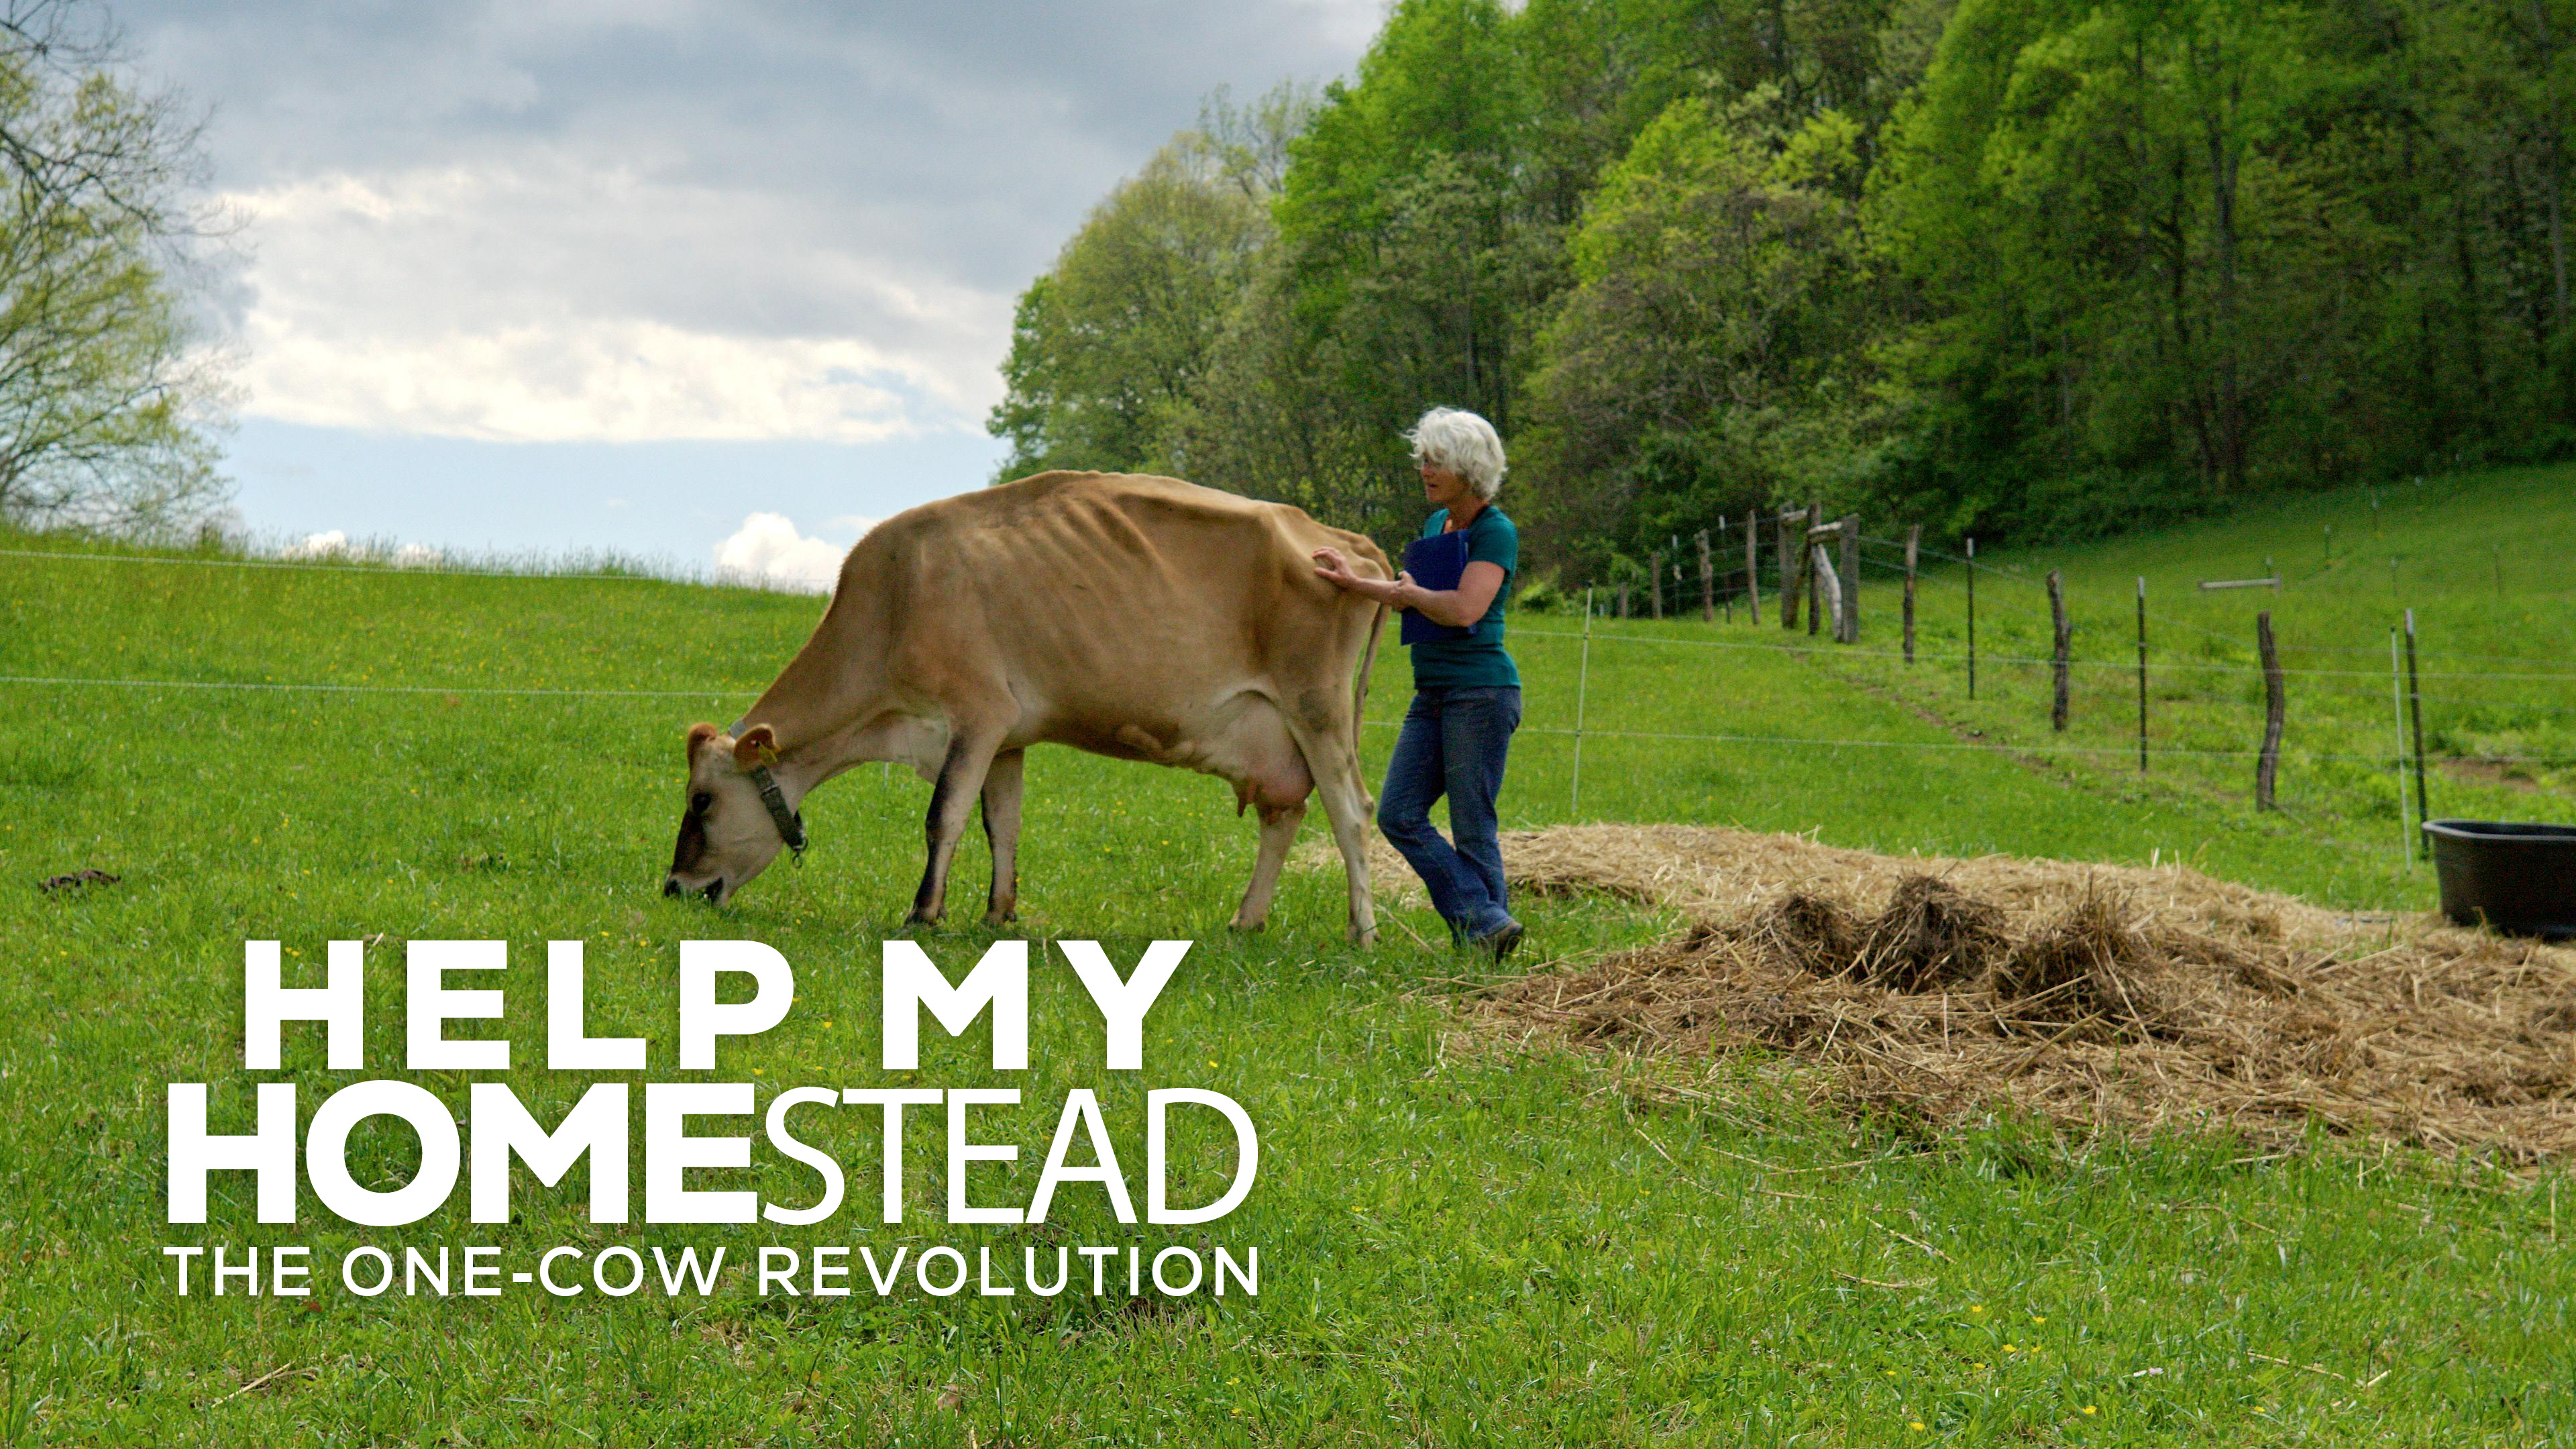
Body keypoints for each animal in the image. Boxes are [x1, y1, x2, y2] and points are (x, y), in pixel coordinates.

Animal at [663, 470, 1394, 943]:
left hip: (1317, 707)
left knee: (1351, 810)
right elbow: (1002, 825)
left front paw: (923, 914)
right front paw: (998, 914)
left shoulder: (977, 713)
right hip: (1278, 735)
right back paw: (1247, 920)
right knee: (1284, 815)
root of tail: (1345, 541)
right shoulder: (1008, 736)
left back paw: (1360, 932)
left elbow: (944, 817)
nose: (674, 888)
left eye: (703, 799)